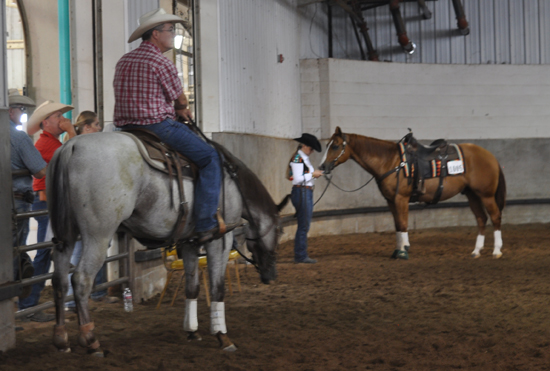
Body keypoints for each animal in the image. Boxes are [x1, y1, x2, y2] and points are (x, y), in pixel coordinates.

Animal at [47, 132, 288, 356]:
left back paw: (61, 340)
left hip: (65, 235)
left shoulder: (190, 242)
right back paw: (91, 340)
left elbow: (192, 286)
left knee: (60, 280)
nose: (271, 275)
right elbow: (218, 289)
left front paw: (192, 331)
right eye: (279, 230)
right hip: (98, 234)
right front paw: (222, 336)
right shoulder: (220, 239)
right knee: (81, 279)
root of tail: (71, 146)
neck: (232, 183)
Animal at [322, 128, 506, 262]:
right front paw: (397, 251)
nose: (322, 167)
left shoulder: (401, 199)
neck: (391, 162)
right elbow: (397, 225)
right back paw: (476, 251)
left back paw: (496, 251)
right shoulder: (391, 201)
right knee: (481, 218)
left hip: (486, 195)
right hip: (472, 194)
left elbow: (403, 224)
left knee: (495, 217)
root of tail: (490, 156)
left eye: (335, 146)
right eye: (327, 145)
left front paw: (404, 251)